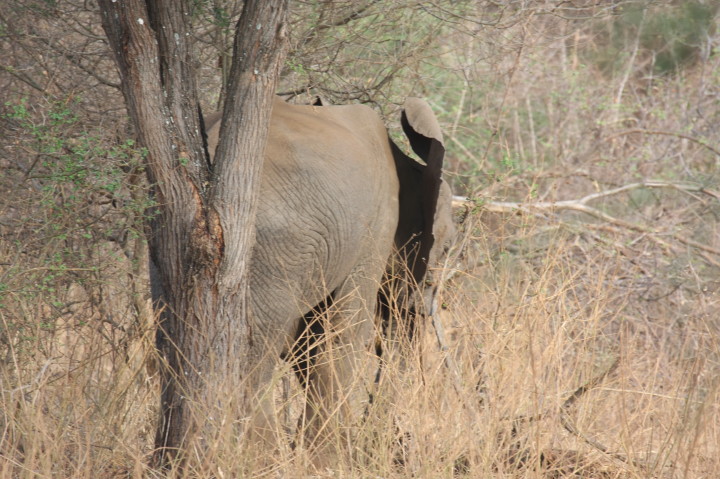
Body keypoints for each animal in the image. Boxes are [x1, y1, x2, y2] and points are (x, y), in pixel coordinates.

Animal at [196, 95, 452, 458]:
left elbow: (308, 341)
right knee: (256, 351)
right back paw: (262, 458)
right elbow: (343, 332)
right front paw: (328, 459)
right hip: (275, 246)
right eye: (447, 248)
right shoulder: (374, 230)